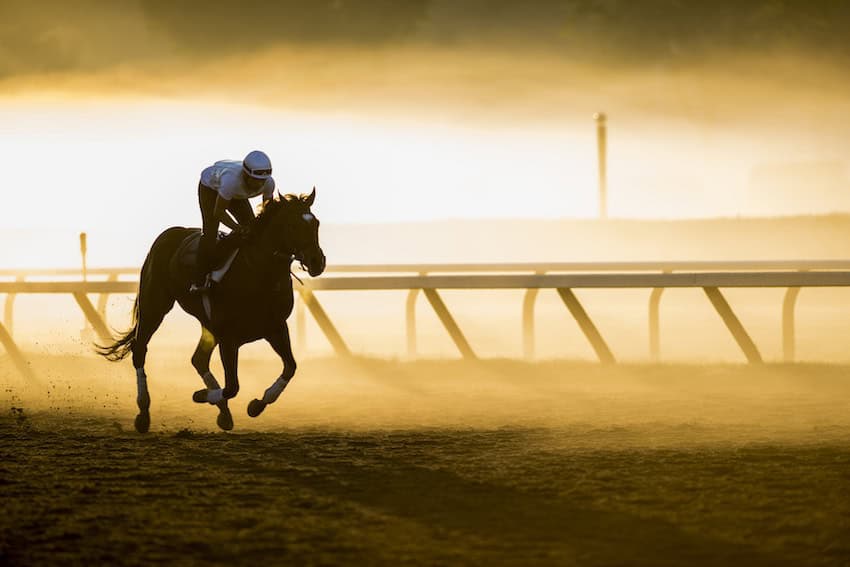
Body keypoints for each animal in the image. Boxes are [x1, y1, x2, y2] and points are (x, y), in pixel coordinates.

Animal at [97, 189, 324, 432]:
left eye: (316, 223)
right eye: (292, 225)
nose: (317, 261)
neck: (258, 272)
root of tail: (170, 234)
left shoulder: (275, 328)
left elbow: (290, 367)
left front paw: (256, 405)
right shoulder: (229, 338)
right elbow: (232, 387)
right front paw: (201, 395)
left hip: (207, 324)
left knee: (198, 359)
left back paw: (223, 412)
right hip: (155, 305)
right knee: (140, 350)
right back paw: (143, 412)